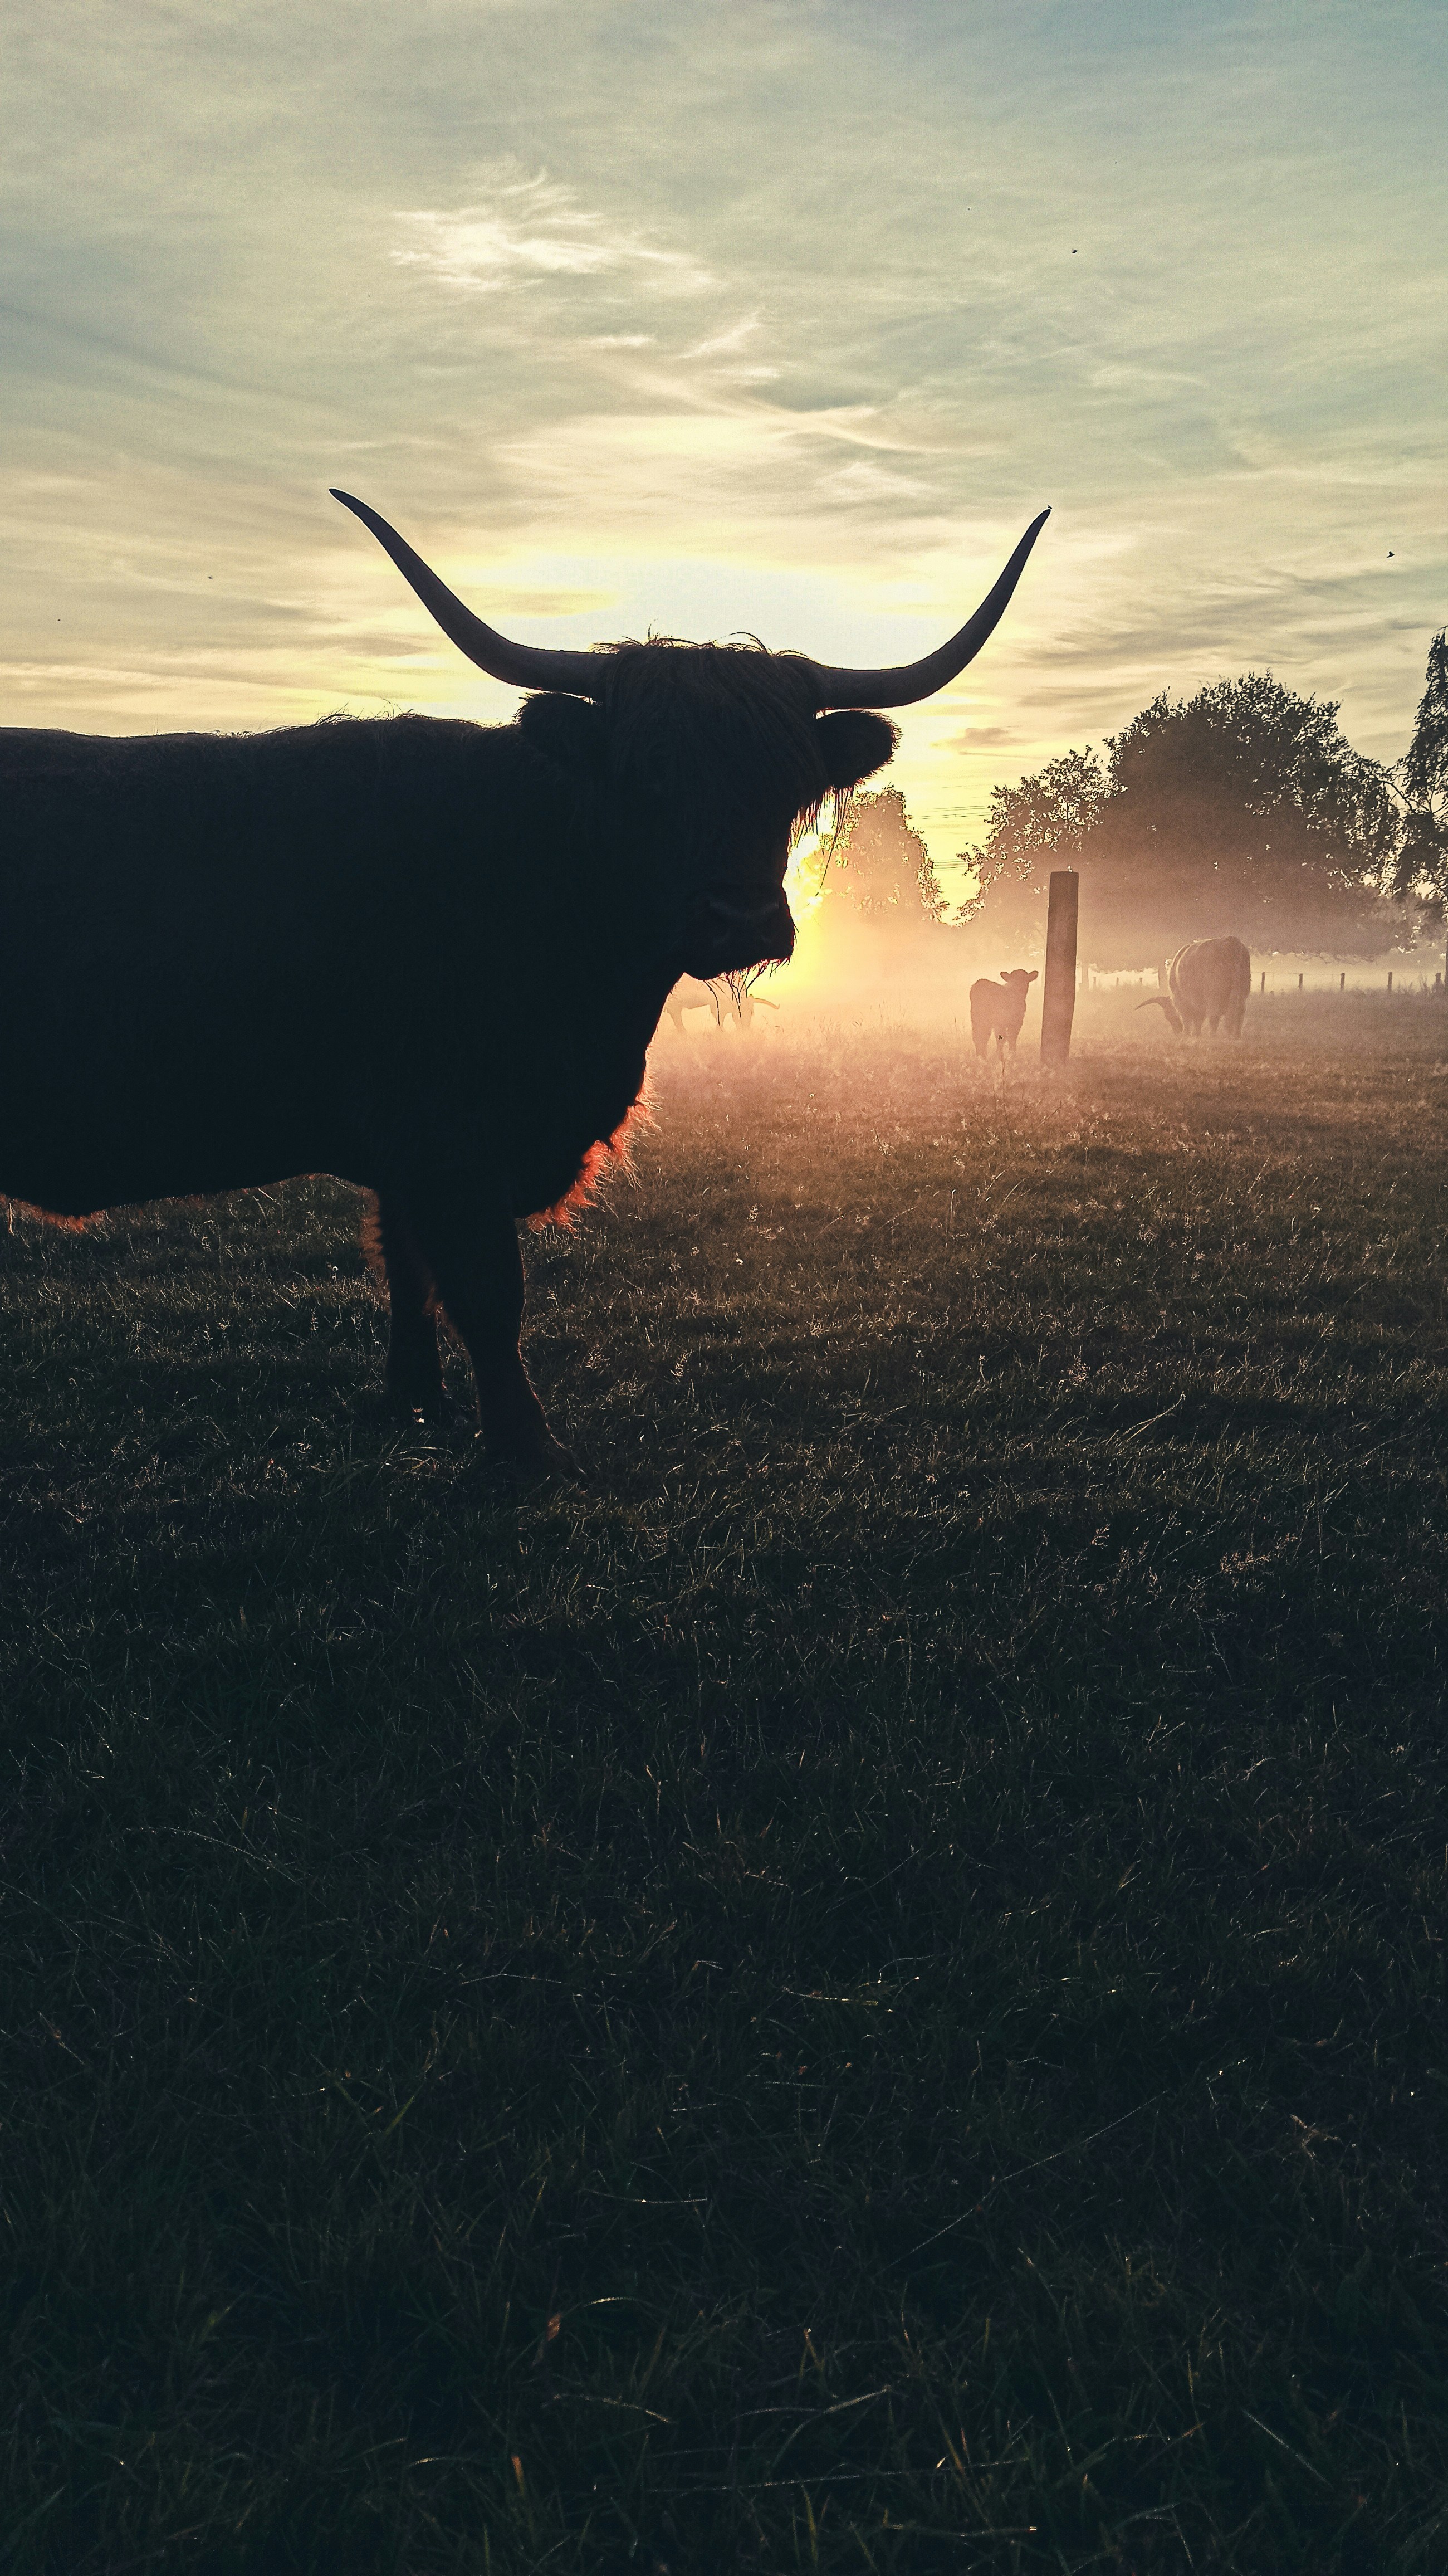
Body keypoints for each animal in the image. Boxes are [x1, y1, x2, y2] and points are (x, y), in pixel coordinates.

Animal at [970, 968, 1039, 1059]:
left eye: (1025, 980)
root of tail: (980, 982)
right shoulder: (1017, 1022)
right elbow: (1012, 1037)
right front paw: (1012, 1054)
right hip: (995, 1020)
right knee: (995, 1037)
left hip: (977, 1019)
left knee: (979, 1037)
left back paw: (981, 1056)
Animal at [1137, 936, 1251, 1038]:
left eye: (1168, 1016)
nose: (1177, 1031)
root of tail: (1232, 941)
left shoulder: (1184, 1000)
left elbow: (1190, 1018)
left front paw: (1190, 1034)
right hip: (1242, 991)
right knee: (1240, 1012)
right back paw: (1236, 1035)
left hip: (1214, 993)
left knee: (1214, 1013)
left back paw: (1212, 1035)